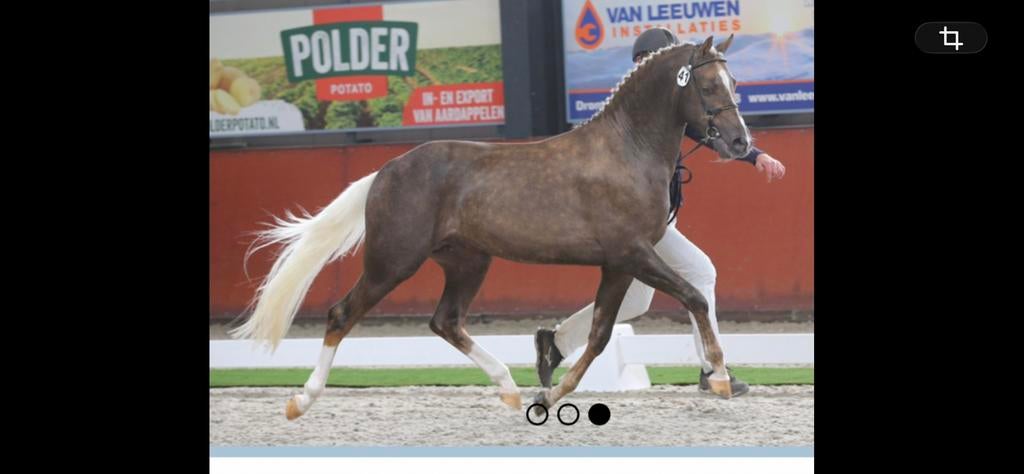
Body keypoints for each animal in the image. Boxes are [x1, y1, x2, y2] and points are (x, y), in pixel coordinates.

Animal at [231, 35, 752, 421]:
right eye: (709, 86)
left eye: (733, 81)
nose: (741, 143)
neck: (626, 150)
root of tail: (386, 170)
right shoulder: (632, 254)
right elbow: (693, 297)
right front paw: (720, 378)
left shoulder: (619, 264)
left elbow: (601, 333)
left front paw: (550, 393)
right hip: (392, 262)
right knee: (342, 314)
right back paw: (300, 400)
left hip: (467, 261)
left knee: (445, 321)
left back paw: (510, 388)